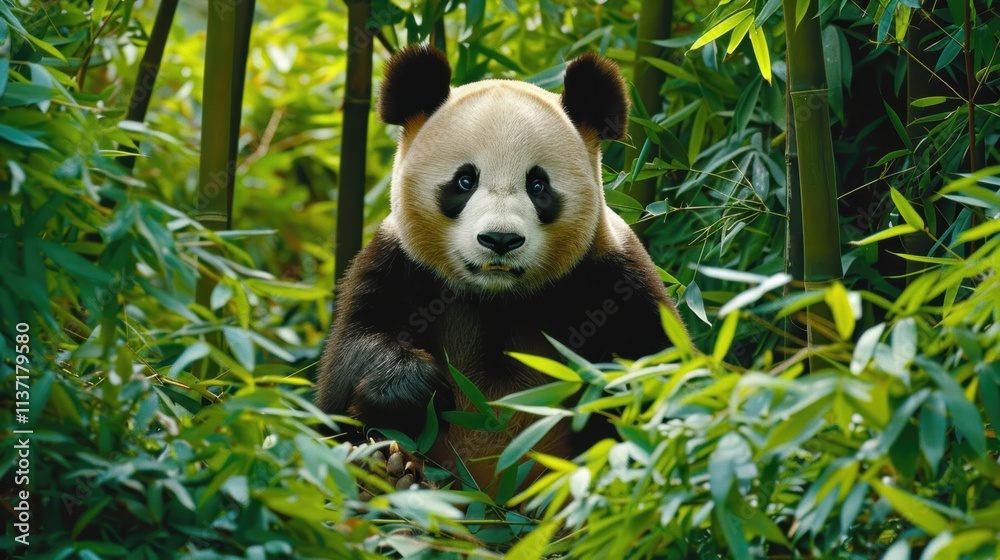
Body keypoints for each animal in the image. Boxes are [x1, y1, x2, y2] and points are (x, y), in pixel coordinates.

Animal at [316, 44, 681, 491]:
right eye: (464, 181)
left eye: (538, 185)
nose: (500, 240)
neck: (497, 298)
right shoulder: (396, 264)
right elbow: (346, 363)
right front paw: (414, 388)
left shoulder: (612, 278)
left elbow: (659, 375)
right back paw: (392, 470)